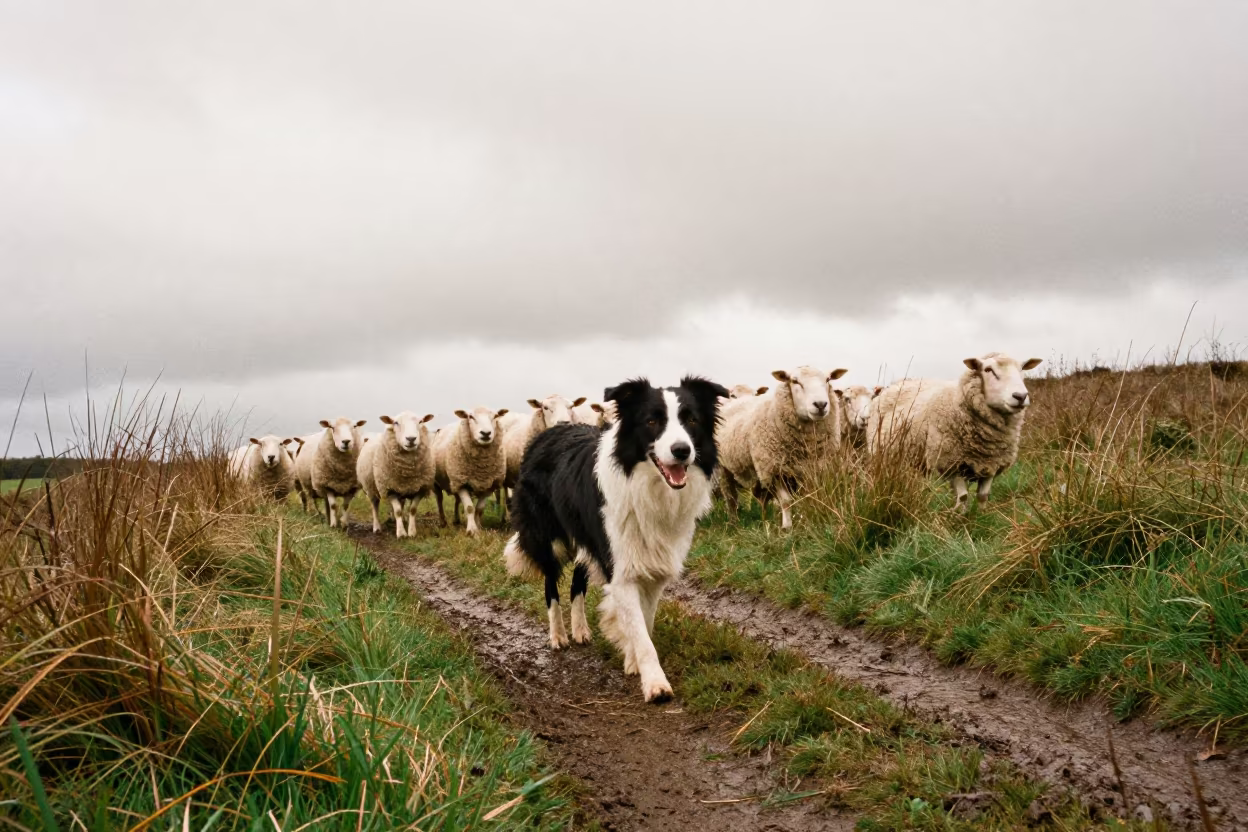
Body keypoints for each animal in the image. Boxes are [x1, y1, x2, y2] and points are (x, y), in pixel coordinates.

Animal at [718, 365, 848, 529]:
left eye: (828, 379)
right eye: (794, 381)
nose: (820, 404)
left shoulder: (811, 468)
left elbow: (809, 497)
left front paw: (806, 520)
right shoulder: (774, 469)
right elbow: (786, 501)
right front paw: (787, 526)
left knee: (761, 497)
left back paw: (764, 519)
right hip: (723, 468)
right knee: (730, 497)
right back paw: (733, 522)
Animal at [867, 352, 1042, 512]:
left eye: (1022, 369)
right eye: (988, 370)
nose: (1020, 396)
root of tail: (894, 386)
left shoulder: (992, 462)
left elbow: (983, 496)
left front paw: (980, 516)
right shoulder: (949, 463)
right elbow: (963, 496)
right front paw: (959, 517)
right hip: (881, 454)